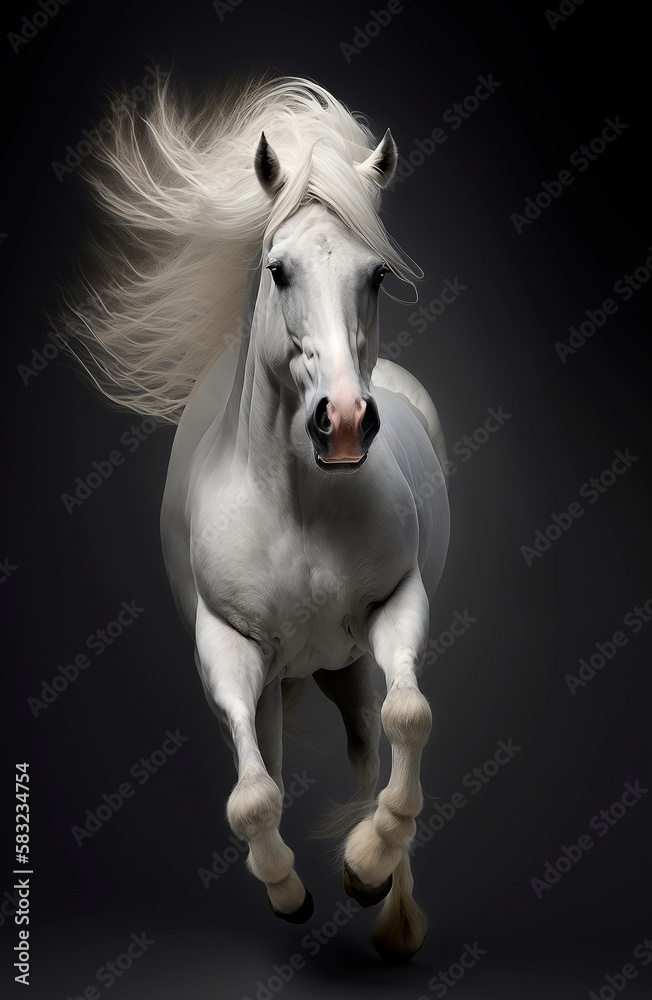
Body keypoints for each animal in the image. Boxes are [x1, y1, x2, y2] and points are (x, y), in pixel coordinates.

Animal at [62, 74, 450, 961]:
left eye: (377, 274)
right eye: (278, 268)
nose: (344, 424)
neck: (300, 506)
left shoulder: (395, 605)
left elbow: (409, 717)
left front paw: (367, 866)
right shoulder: (228, 644)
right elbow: (252, 797)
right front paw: (288, 893)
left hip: (349, 665)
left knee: (370, 745)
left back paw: (390, 906)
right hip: (281, 675)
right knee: (270, 763)